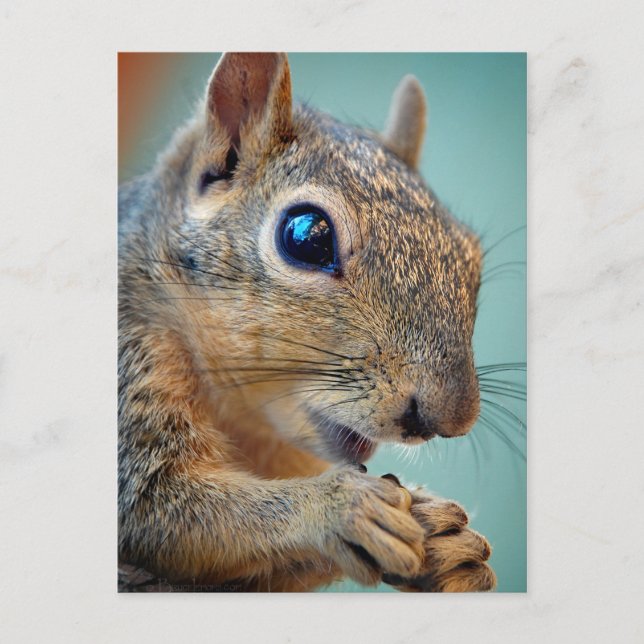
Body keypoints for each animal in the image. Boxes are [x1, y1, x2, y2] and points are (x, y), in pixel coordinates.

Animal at [118, 52, 496, 592]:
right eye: (306, 237)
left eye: (470, 257)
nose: (450, 418)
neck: (251, 426)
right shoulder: (132, 363)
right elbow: (157, 507)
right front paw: (343, 509)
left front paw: (447, 543)